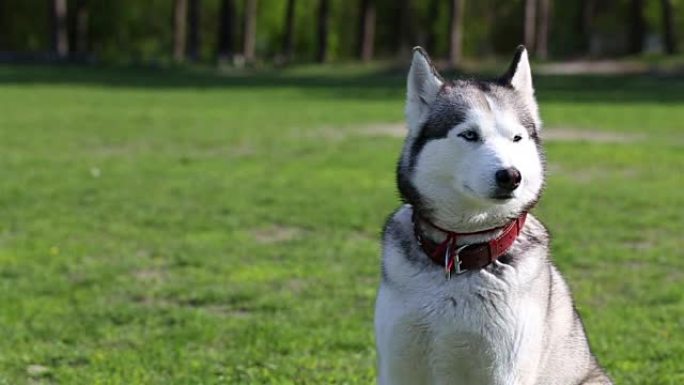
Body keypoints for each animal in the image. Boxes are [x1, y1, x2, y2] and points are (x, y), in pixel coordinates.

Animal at [376, 47, 612, 384]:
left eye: (517, 138)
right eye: (469, 135)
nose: (511, 176)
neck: (462, 250)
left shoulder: (507, 368)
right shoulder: (398, 363)